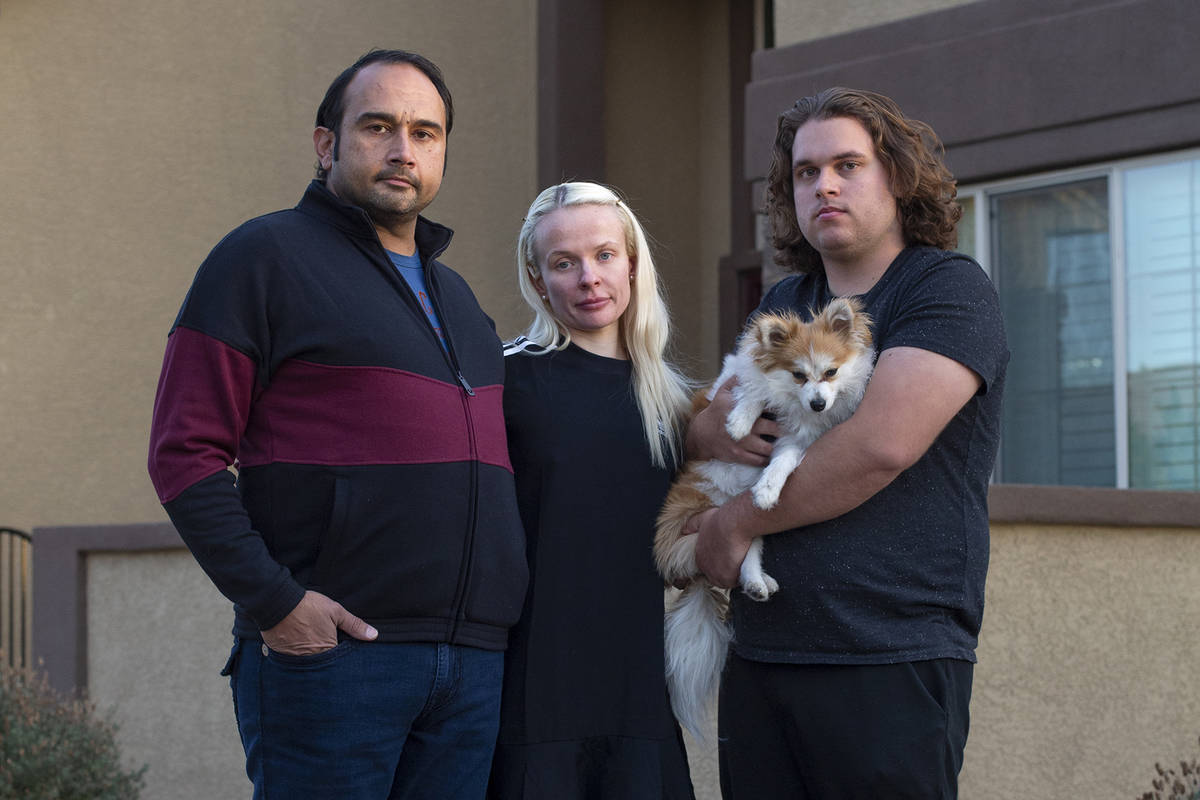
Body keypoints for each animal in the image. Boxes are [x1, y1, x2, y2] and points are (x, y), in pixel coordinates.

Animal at [657, 297, 873, 743]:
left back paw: (756, 580)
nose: (817, 404)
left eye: (831, 373)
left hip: (738, 523)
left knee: (747, 547)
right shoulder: (731, 378)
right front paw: (740, 420)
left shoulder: (797, 441)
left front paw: (770, 487)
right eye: (798, 375)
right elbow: (750, 388)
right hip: (709, 506)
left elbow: (784, 461)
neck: (790, 405)